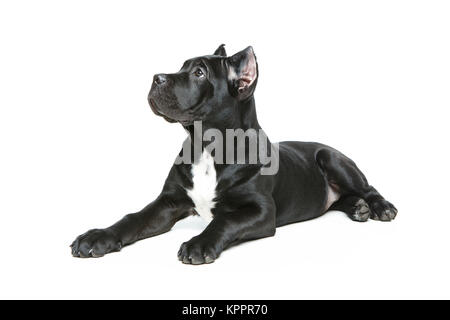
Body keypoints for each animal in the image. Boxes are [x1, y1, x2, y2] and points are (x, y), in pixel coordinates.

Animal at [71, 45, 398, 264]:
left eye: (199, 73)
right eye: (181, 66)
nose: (156, 78)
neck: (206, 146)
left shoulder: (261, 211)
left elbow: (224, 221)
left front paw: (199, 244)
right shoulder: (168, 202)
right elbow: (133, 218)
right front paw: (97, 237)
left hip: (333, 160)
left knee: (368, 188)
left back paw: (379, 207)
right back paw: (357, 208)